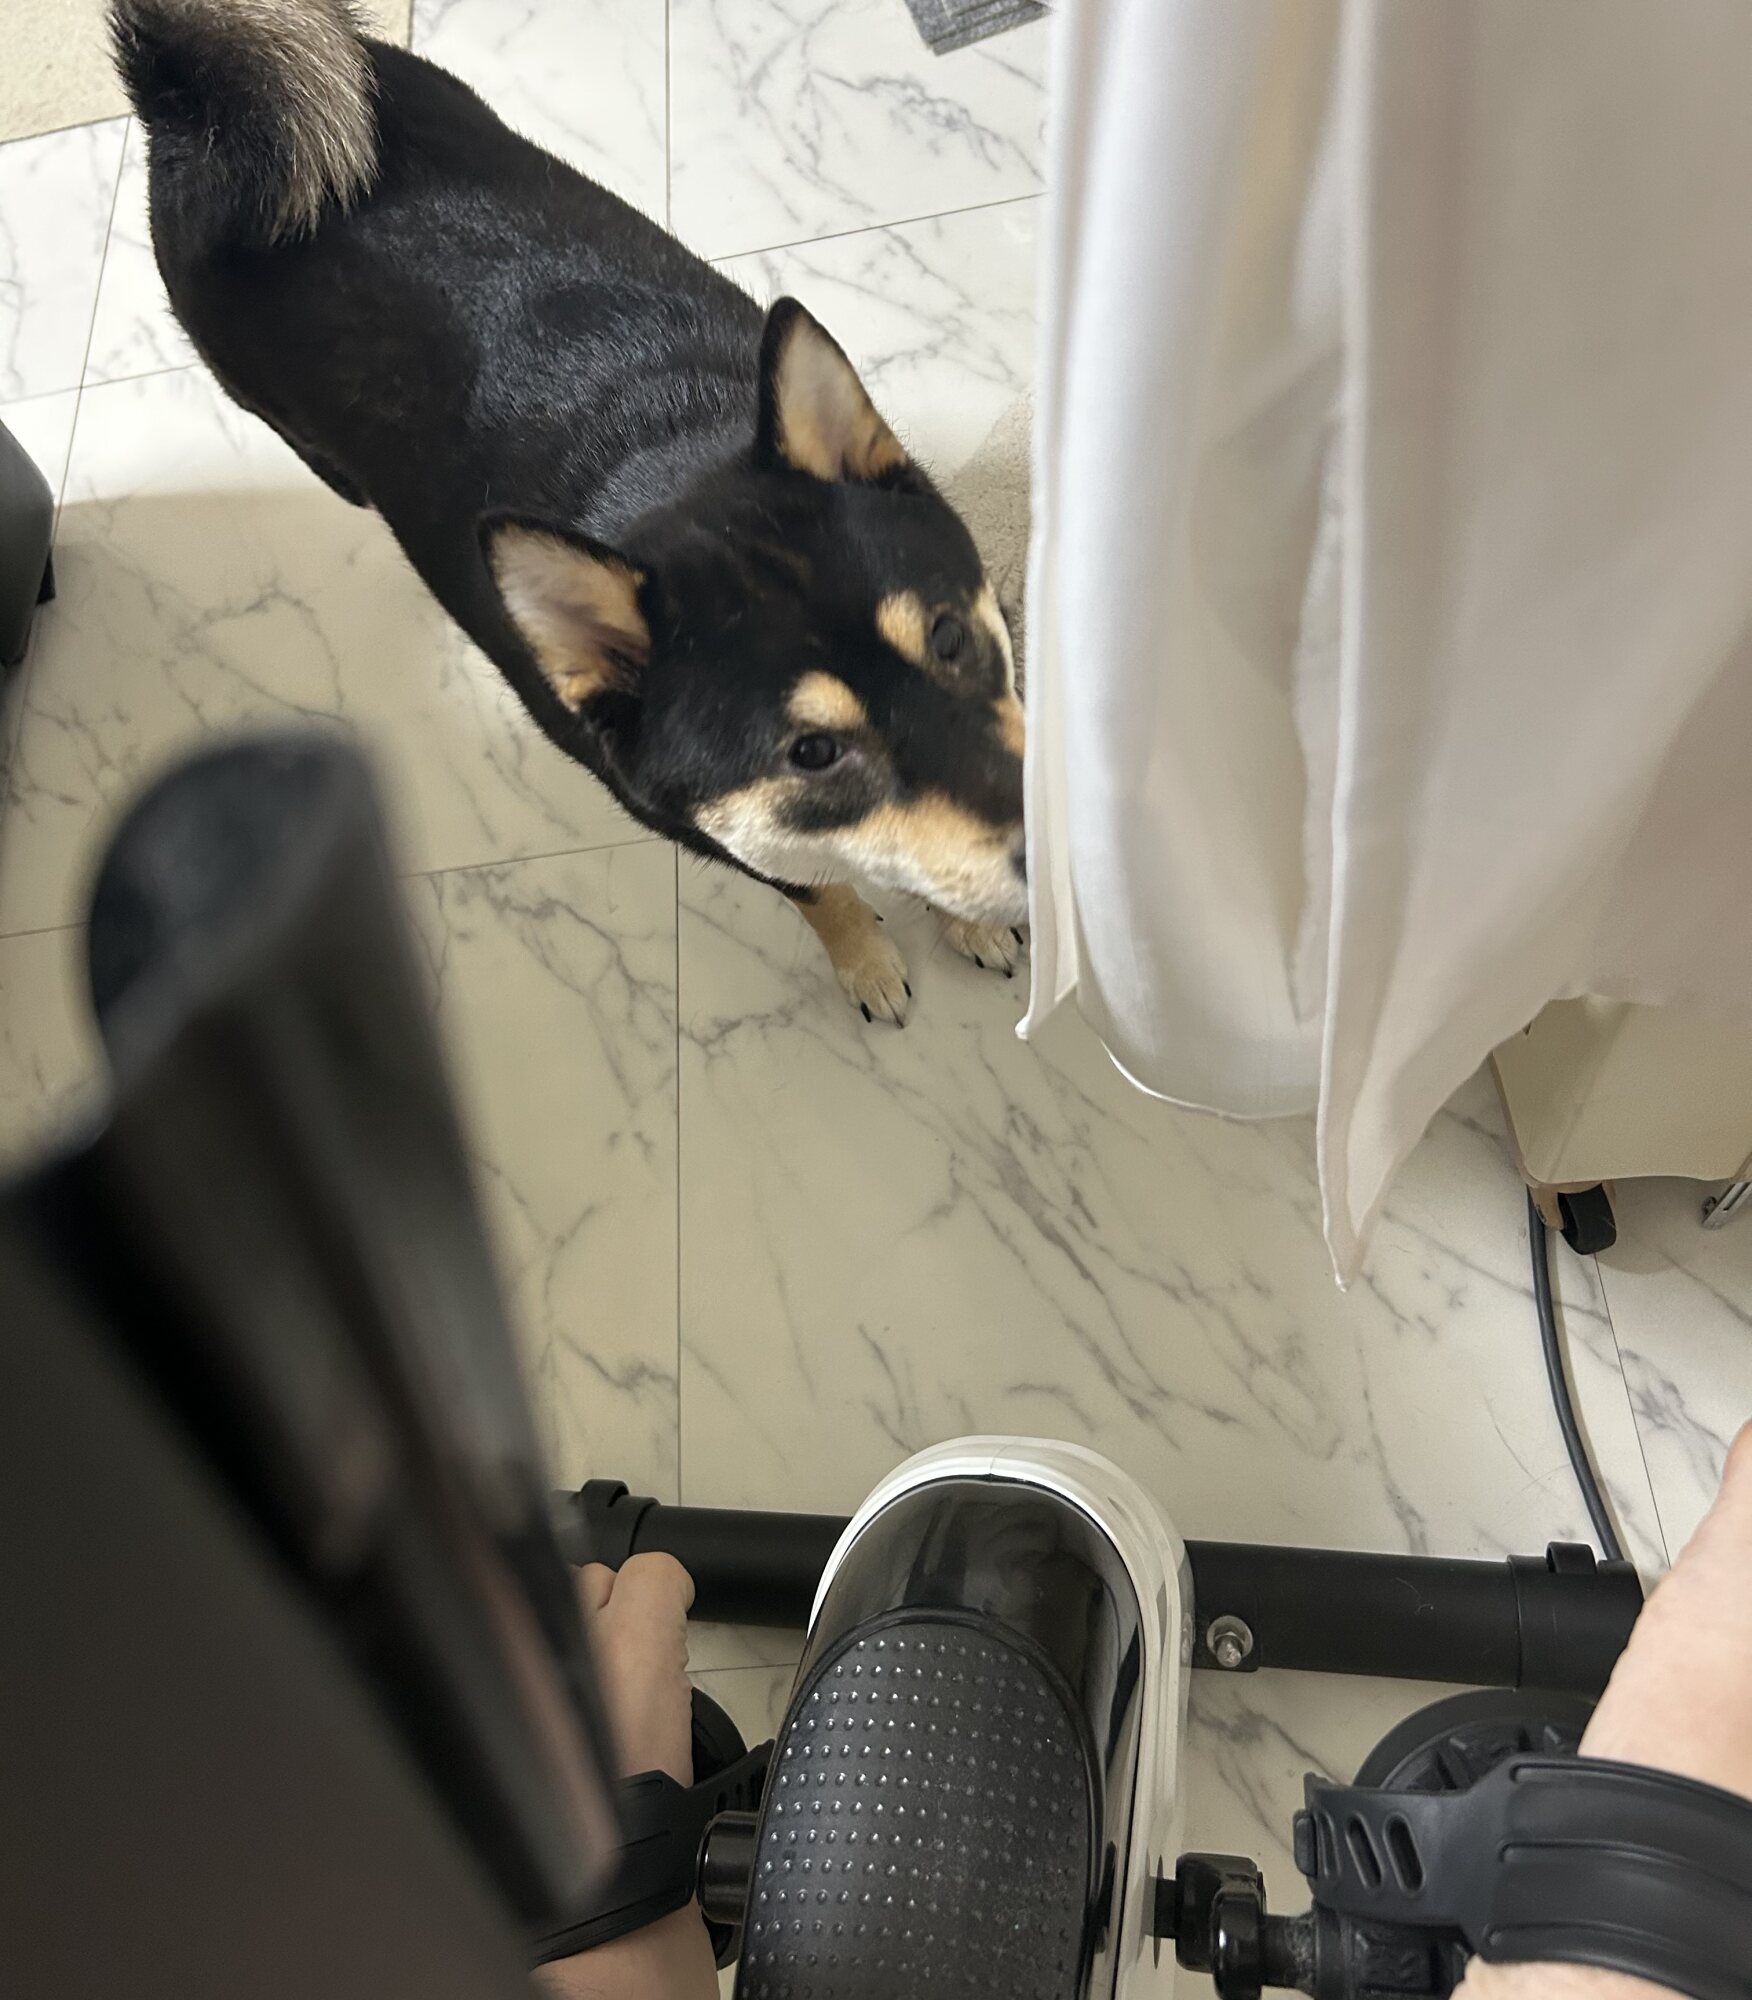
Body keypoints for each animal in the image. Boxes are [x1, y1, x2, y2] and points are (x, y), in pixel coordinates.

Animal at [110, 0, 1028, 1024]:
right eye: (814, 753)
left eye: (948, 637)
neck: (668, 462)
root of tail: (187, 104)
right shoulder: (702, 826)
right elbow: (819, 886)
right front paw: (866, 958)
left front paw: (965, 920)